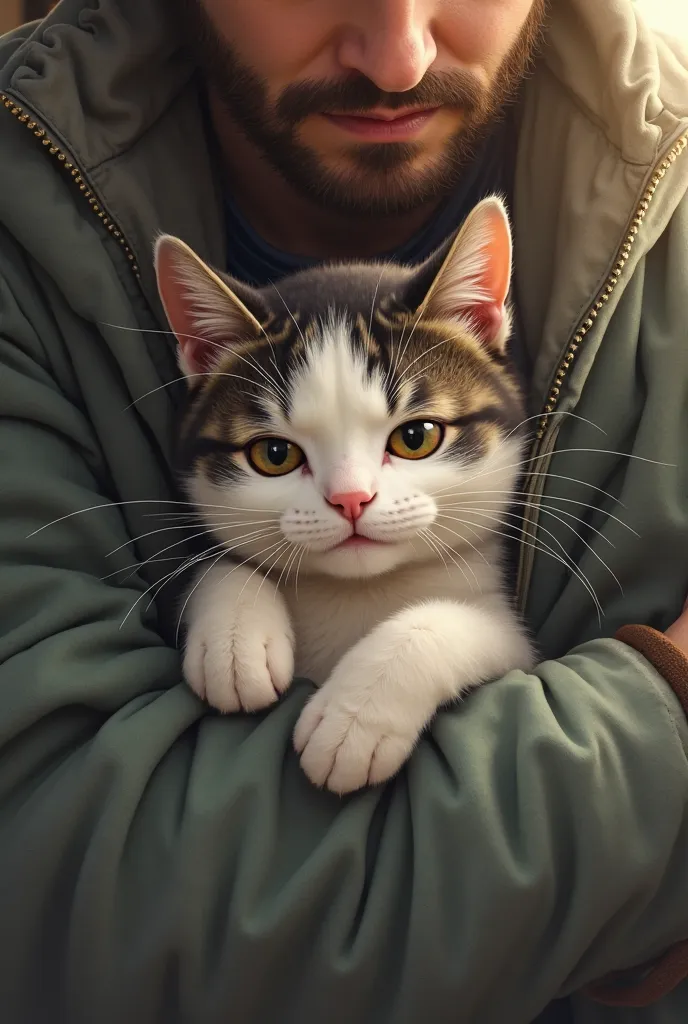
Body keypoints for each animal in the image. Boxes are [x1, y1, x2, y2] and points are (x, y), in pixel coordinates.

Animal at [155, 195, 536, 794]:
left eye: (415, 437)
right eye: (274, 454)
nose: (351, 499)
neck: (357, 593)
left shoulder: (518, 650)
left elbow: (457, 623)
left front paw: (355, 717)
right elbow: (220, 563)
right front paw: (234, 636)